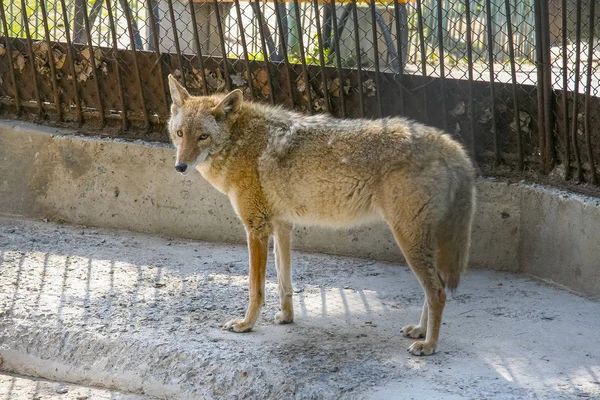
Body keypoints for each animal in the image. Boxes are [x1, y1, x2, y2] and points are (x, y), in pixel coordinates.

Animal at [166, 75, 476, 356]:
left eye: (203, 136)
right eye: (180, 134)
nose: (180, 166)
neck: (242, 141)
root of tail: (453, 147)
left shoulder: (256, 228)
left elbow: (256, 288)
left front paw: (246, 324)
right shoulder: (281, 226)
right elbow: (284, 281)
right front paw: (286, 318)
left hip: (408, 239)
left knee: (437, 291)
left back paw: (429, 345)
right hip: (419, 242)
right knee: (433, 288)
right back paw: (421, 330)